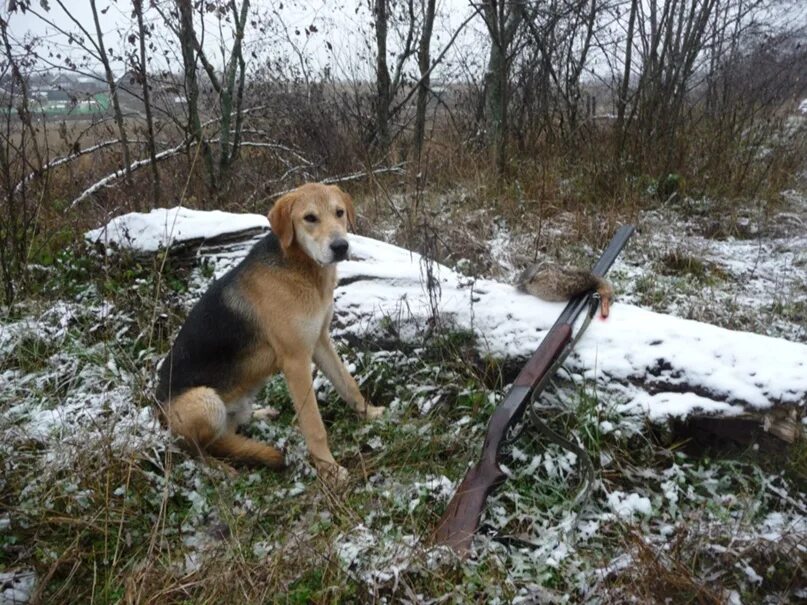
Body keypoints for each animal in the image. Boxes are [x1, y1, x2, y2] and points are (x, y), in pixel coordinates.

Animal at [158, 182, 386, 484]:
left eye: (339, 212)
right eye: (310, 218)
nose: (340, 247)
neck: (301, 269)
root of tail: (158, 417)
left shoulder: (320, 342)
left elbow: (348, 384)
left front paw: (369, 413)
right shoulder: (296, 361)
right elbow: (314, 425)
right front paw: (329, 469)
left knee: (228, 432)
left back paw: (260, 414)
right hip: (205, 402)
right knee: (197, 449)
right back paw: (221, 470)